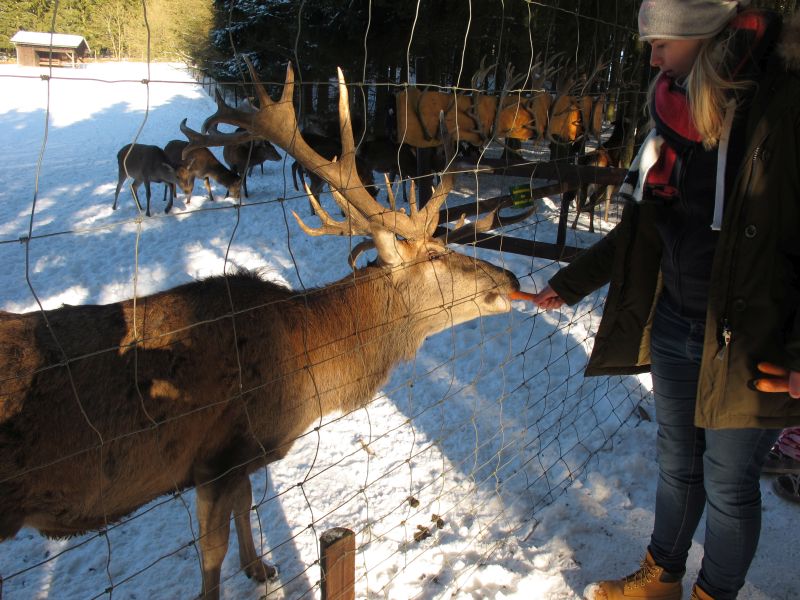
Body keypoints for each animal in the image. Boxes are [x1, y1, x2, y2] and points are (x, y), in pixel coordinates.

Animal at [4, 61, 532, 600]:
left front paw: (259, 566)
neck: (306, 368)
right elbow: (210, 552)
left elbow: (247, 504)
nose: (510, 279)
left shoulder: (243, 453)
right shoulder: (215, 459)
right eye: (436, 256)